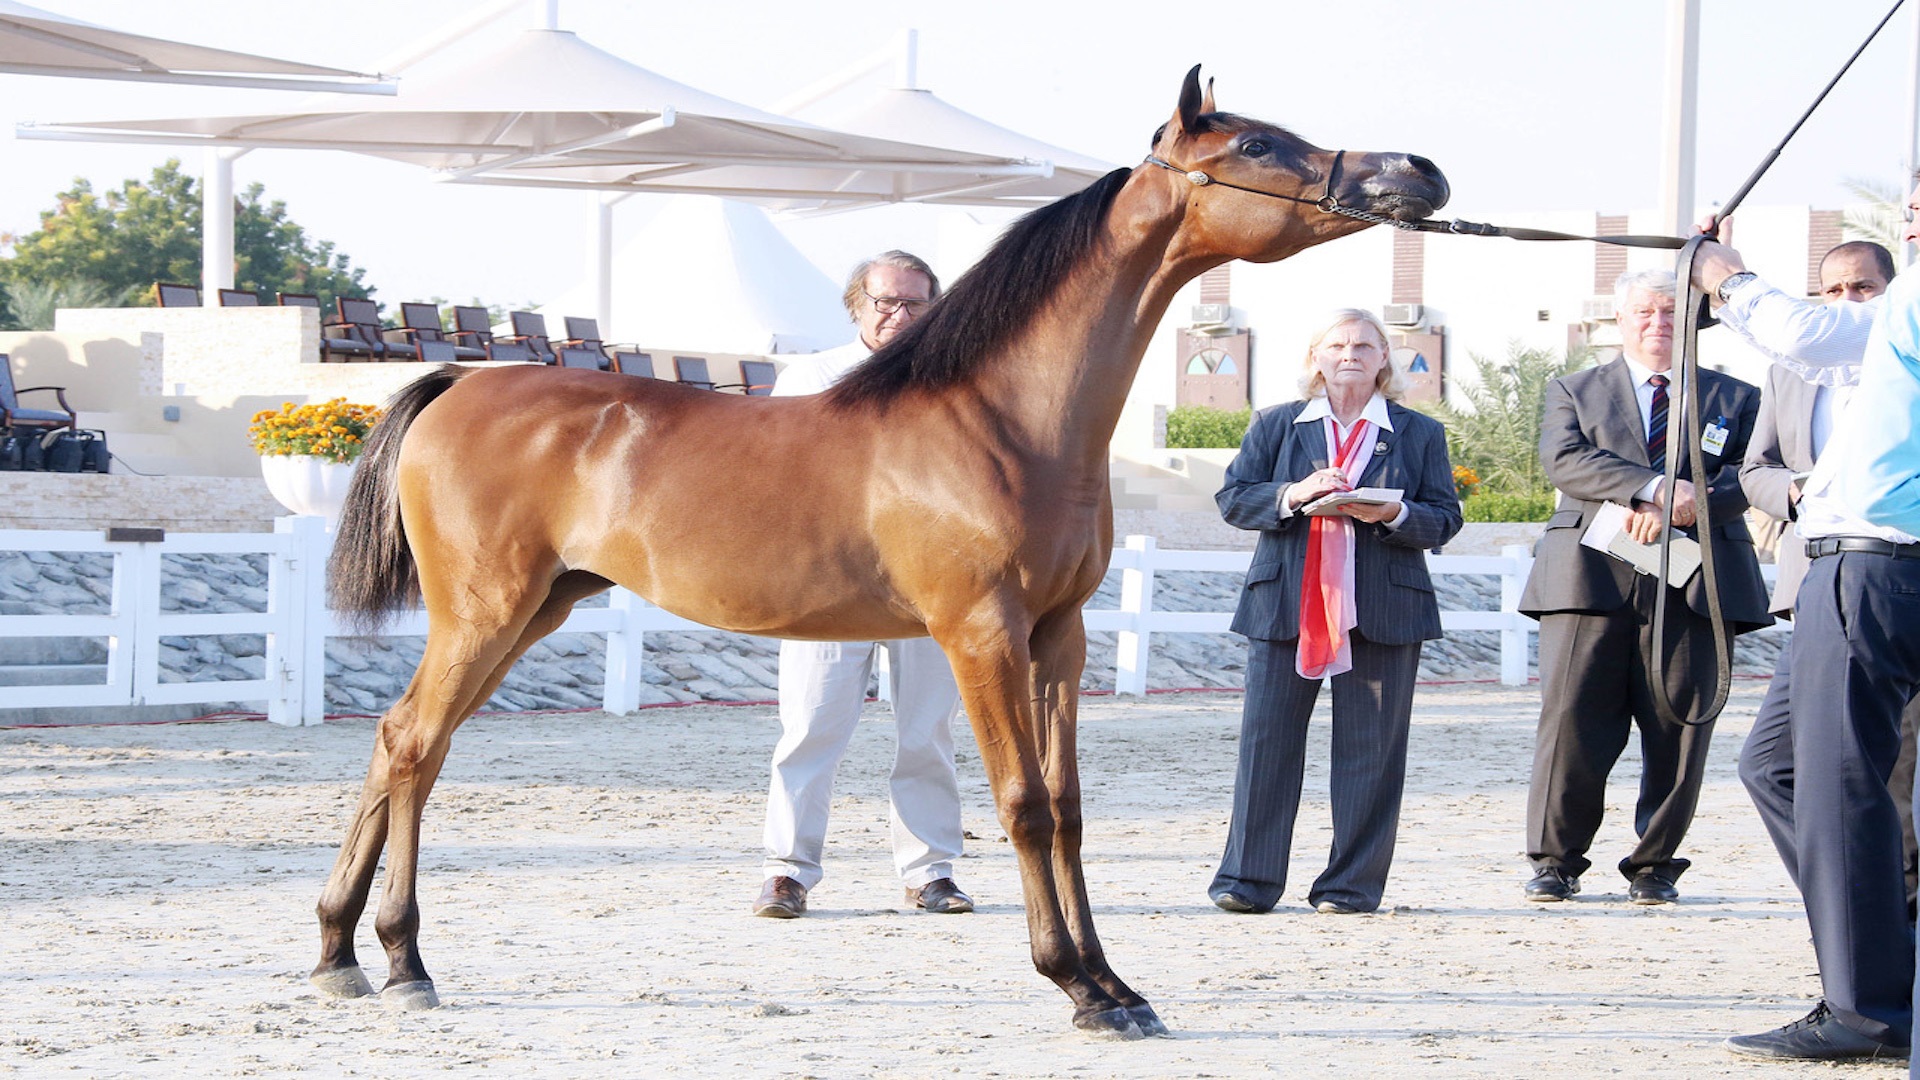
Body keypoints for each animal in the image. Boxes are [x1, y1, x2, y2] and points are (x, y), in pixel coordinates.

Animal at [322, 67, 1443, 1037]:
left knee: (403, 742)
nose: (1418, 171)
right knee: (414, 746)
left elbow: (1071, 808)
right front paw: (1074, 986)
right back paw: (405, 961)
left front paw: (1117, 986)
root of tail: (460, 384)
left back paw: (341, 954)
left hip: (533, 610)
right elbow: (1025, 806)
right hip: (487, 611)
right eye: (1255, 144)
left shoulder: (1060, 638)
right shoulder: (982, 634)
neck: (1002, 422)